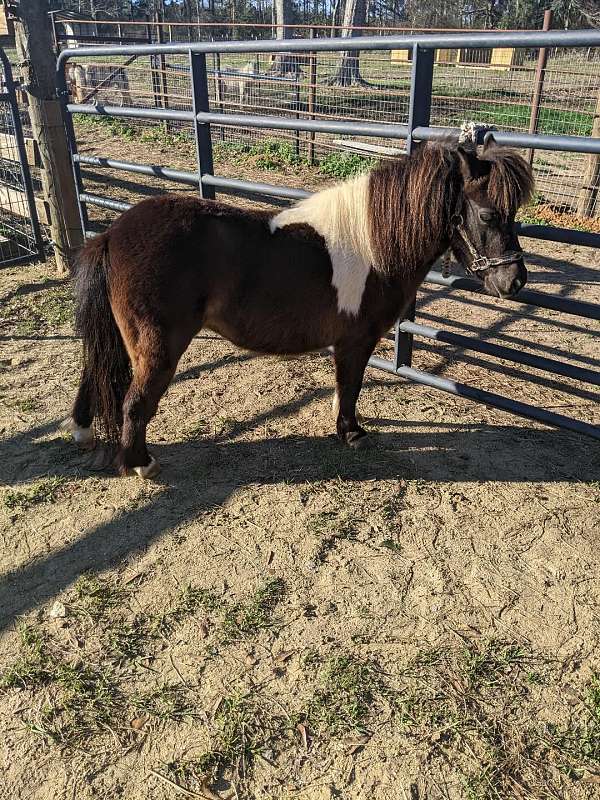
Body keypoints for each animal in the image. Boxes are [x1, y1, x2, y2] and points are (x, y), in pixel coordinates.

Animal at [63, 138, 533, 478]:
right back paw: (140, 464)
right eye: (489, 215)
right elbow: (352, 386)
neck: (373, 243)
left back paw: (84, 433)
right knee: (135, 402)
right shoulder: (356, 341)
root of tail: (111, 235)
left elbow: (345, 386)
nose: (515, 281)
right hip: (157, 347)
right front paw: (351, 433)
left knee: (94, 374)